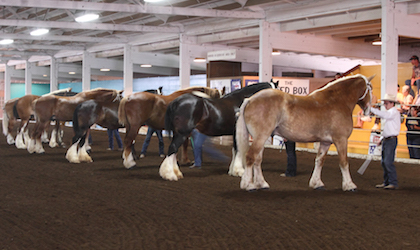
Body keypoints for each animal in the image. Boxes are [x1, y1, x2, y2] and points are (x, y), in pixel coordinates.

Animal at [236, 74, 374, 191]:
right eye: (370, 89)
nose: (369, 111)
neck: (337, 101)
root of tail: (250, 99)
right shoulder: (341, 140)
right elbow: (344, 162)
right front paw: (349, 185)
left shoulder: (326, 142)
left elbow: (319, 161)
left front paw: (317, 183)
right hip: (260, 137)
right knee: (250, 157)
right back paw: (249, 185)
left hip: (260, 138)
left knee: (257, 160)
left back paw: (262, 184)